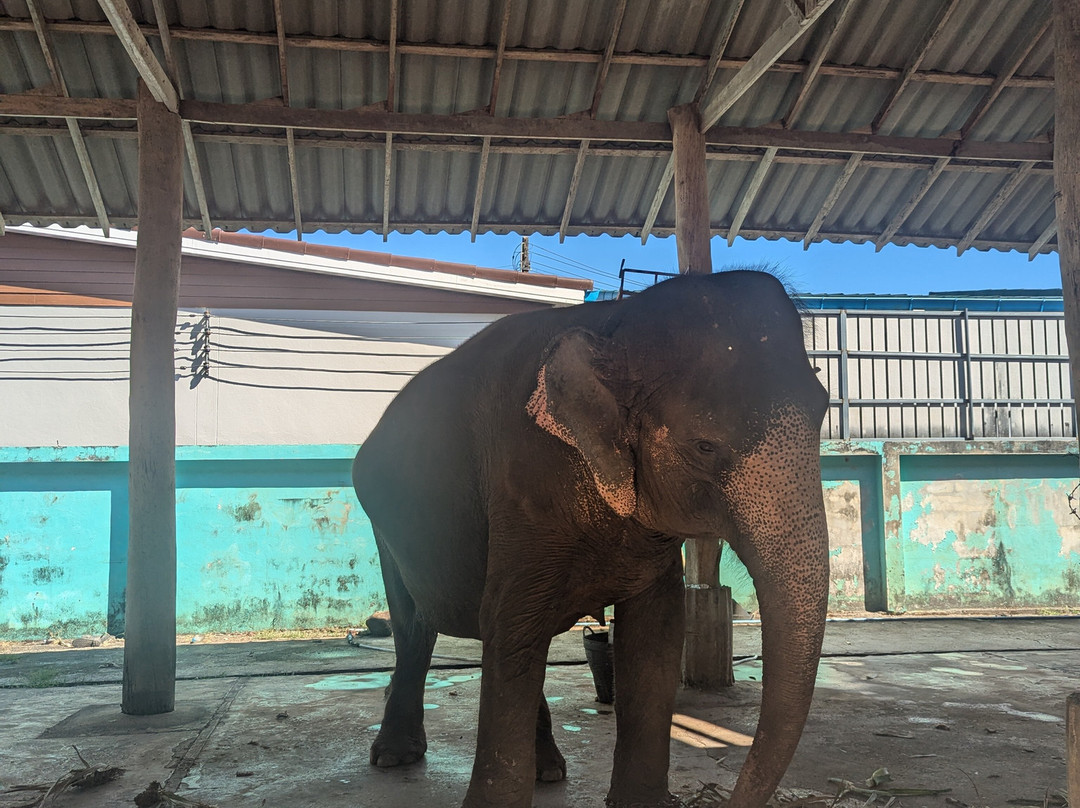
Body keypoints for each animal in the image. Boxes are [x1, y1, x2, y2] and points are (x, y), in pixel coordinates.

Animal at [351, 269, 830, 808]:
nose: (727, 797)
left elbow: (656, 633)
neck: (612, 324)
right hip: (385, 527)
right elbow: (510, 621)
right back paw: (395, 757)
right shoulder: (523, 483)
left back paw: (548, 769)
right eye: (704, 446)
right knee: (418, 626)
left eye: (825, 411)